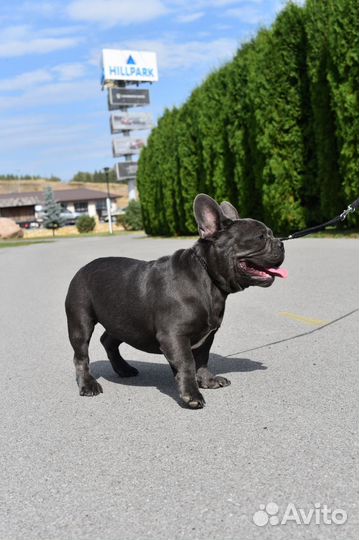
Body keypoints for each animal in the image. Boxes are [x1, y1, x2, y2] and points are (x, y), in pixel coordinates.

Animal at [66, 192, 286, 408]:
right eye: (260, 237)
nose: (281, 243)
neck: (207, 278)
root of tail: (82, 269)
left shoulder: (207, 336)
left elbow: (202, 359)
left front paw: (207, 381)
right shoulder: (174, 336)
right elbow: (187, 363)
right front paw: (191, 395)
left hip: (123, 322)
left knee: (108, 341)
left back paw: (123, 369)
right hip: (81, 322)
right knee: (81, 356)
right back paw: (88, 384)